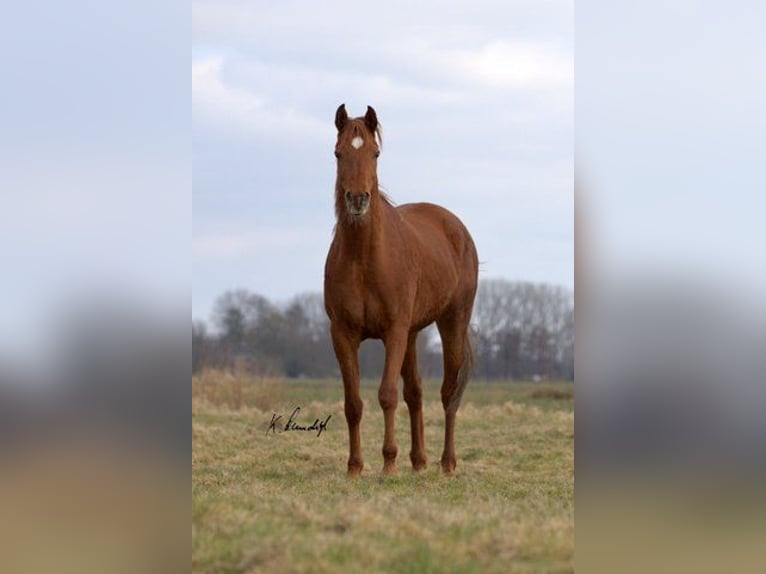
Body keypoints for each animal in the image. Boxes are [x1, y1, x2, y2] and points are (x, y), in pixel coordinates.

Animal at [324, 104, 479, 477]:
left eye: (375, 153)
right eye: (338, 153)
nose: (357, 199)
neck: (363, 259)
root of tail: (456, 228)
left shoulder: (393, 331)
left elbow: (386, 395)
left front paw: (388, 464)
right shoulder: (342, 334)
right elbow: (354, 403)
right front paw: (355, 467)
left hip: (452, 323)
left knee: (448, 392)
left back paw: (447, 463)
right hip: (412, 334)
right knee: (416, 393)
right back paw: (419, 461)